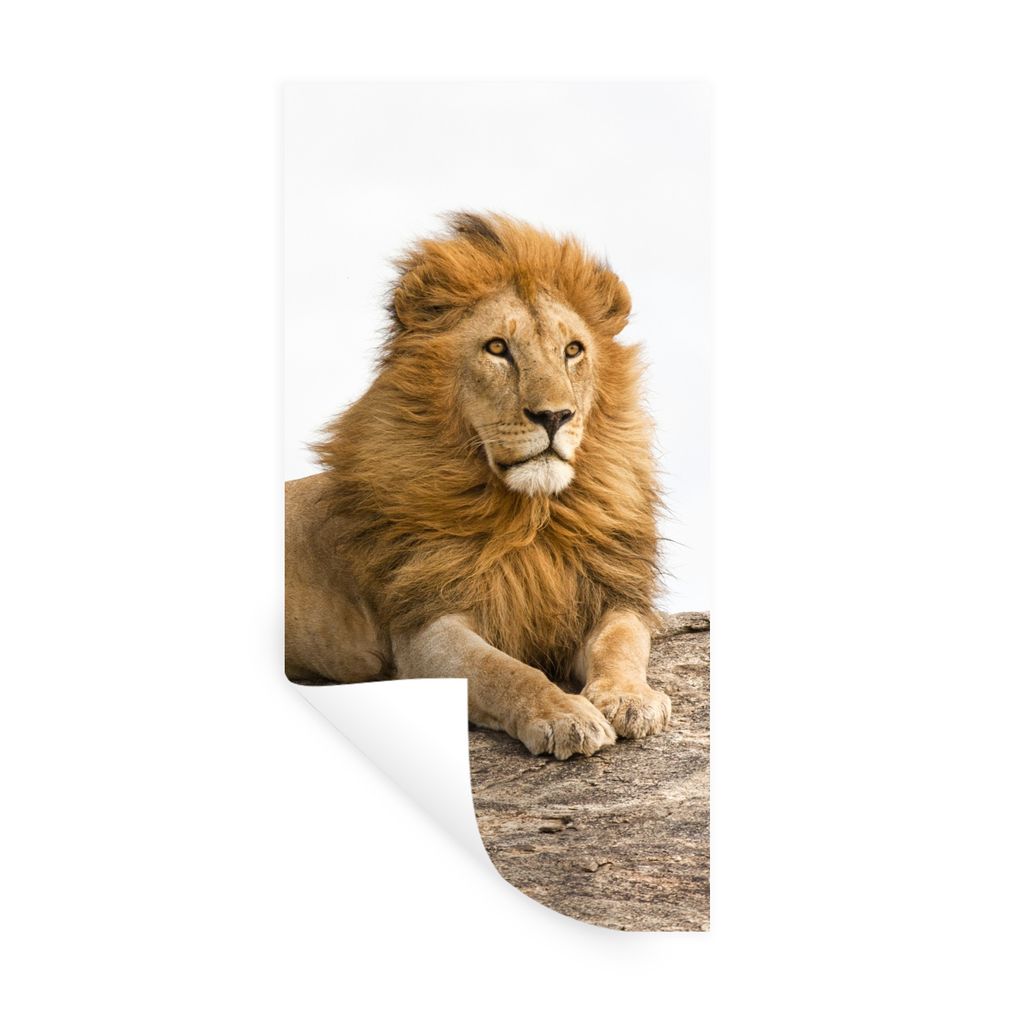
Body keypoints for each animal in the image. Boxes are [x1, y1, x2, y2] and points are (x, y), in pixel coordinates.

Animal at [285, 212, 671, 759]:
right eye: (497, 349)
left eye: (573, 350)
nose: (555, 416)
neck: (532, 518)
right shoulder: (425, 630)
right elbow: (504, 671)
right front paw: (566, 715)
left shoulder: (608, 595)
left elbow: (621, 642)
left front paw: (630, 699)